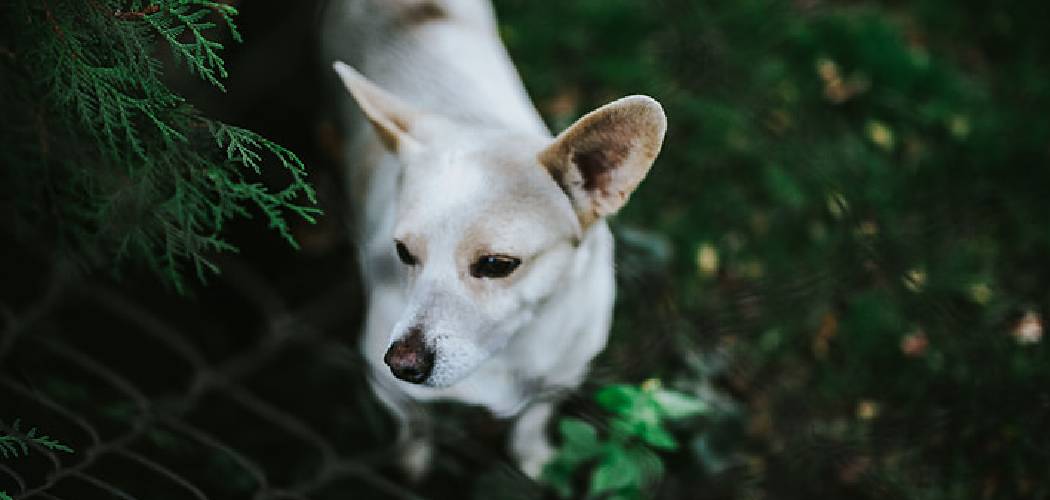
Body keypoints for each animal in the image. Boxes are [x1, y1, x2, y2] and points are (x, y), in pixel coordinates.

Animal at [321, 0, 663, 478]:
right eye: (403, 252)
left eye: (497, 265)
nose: (402, 364)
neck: (511, 351)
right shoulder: (384, 382)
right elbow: (415, 422)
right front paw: (412, 463)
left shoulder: (564, 376)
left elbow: (534, 419)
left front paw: (534, 459)